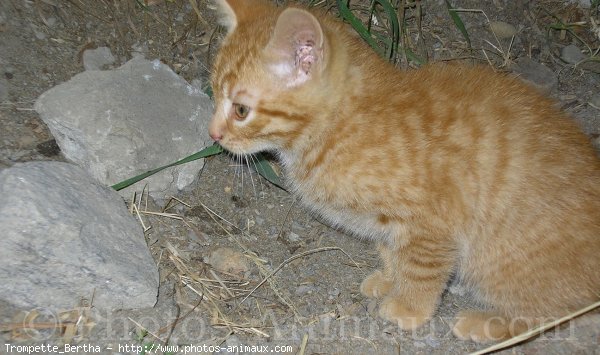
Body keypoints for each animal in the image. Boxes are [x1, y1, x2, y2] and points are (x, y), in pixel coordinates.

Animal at [209, 0, 600, 344]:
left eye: (241, 110)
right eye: (213, 92)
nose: (212, 135)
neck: (339, 129)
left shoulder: (432, 226)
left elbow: (422, 267)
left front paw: (410, 306)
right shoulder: (388, 223)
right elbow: (390, 251)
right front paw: (388, 279)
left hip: (504, 264)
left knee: (551, 313)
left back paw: (486, 322)